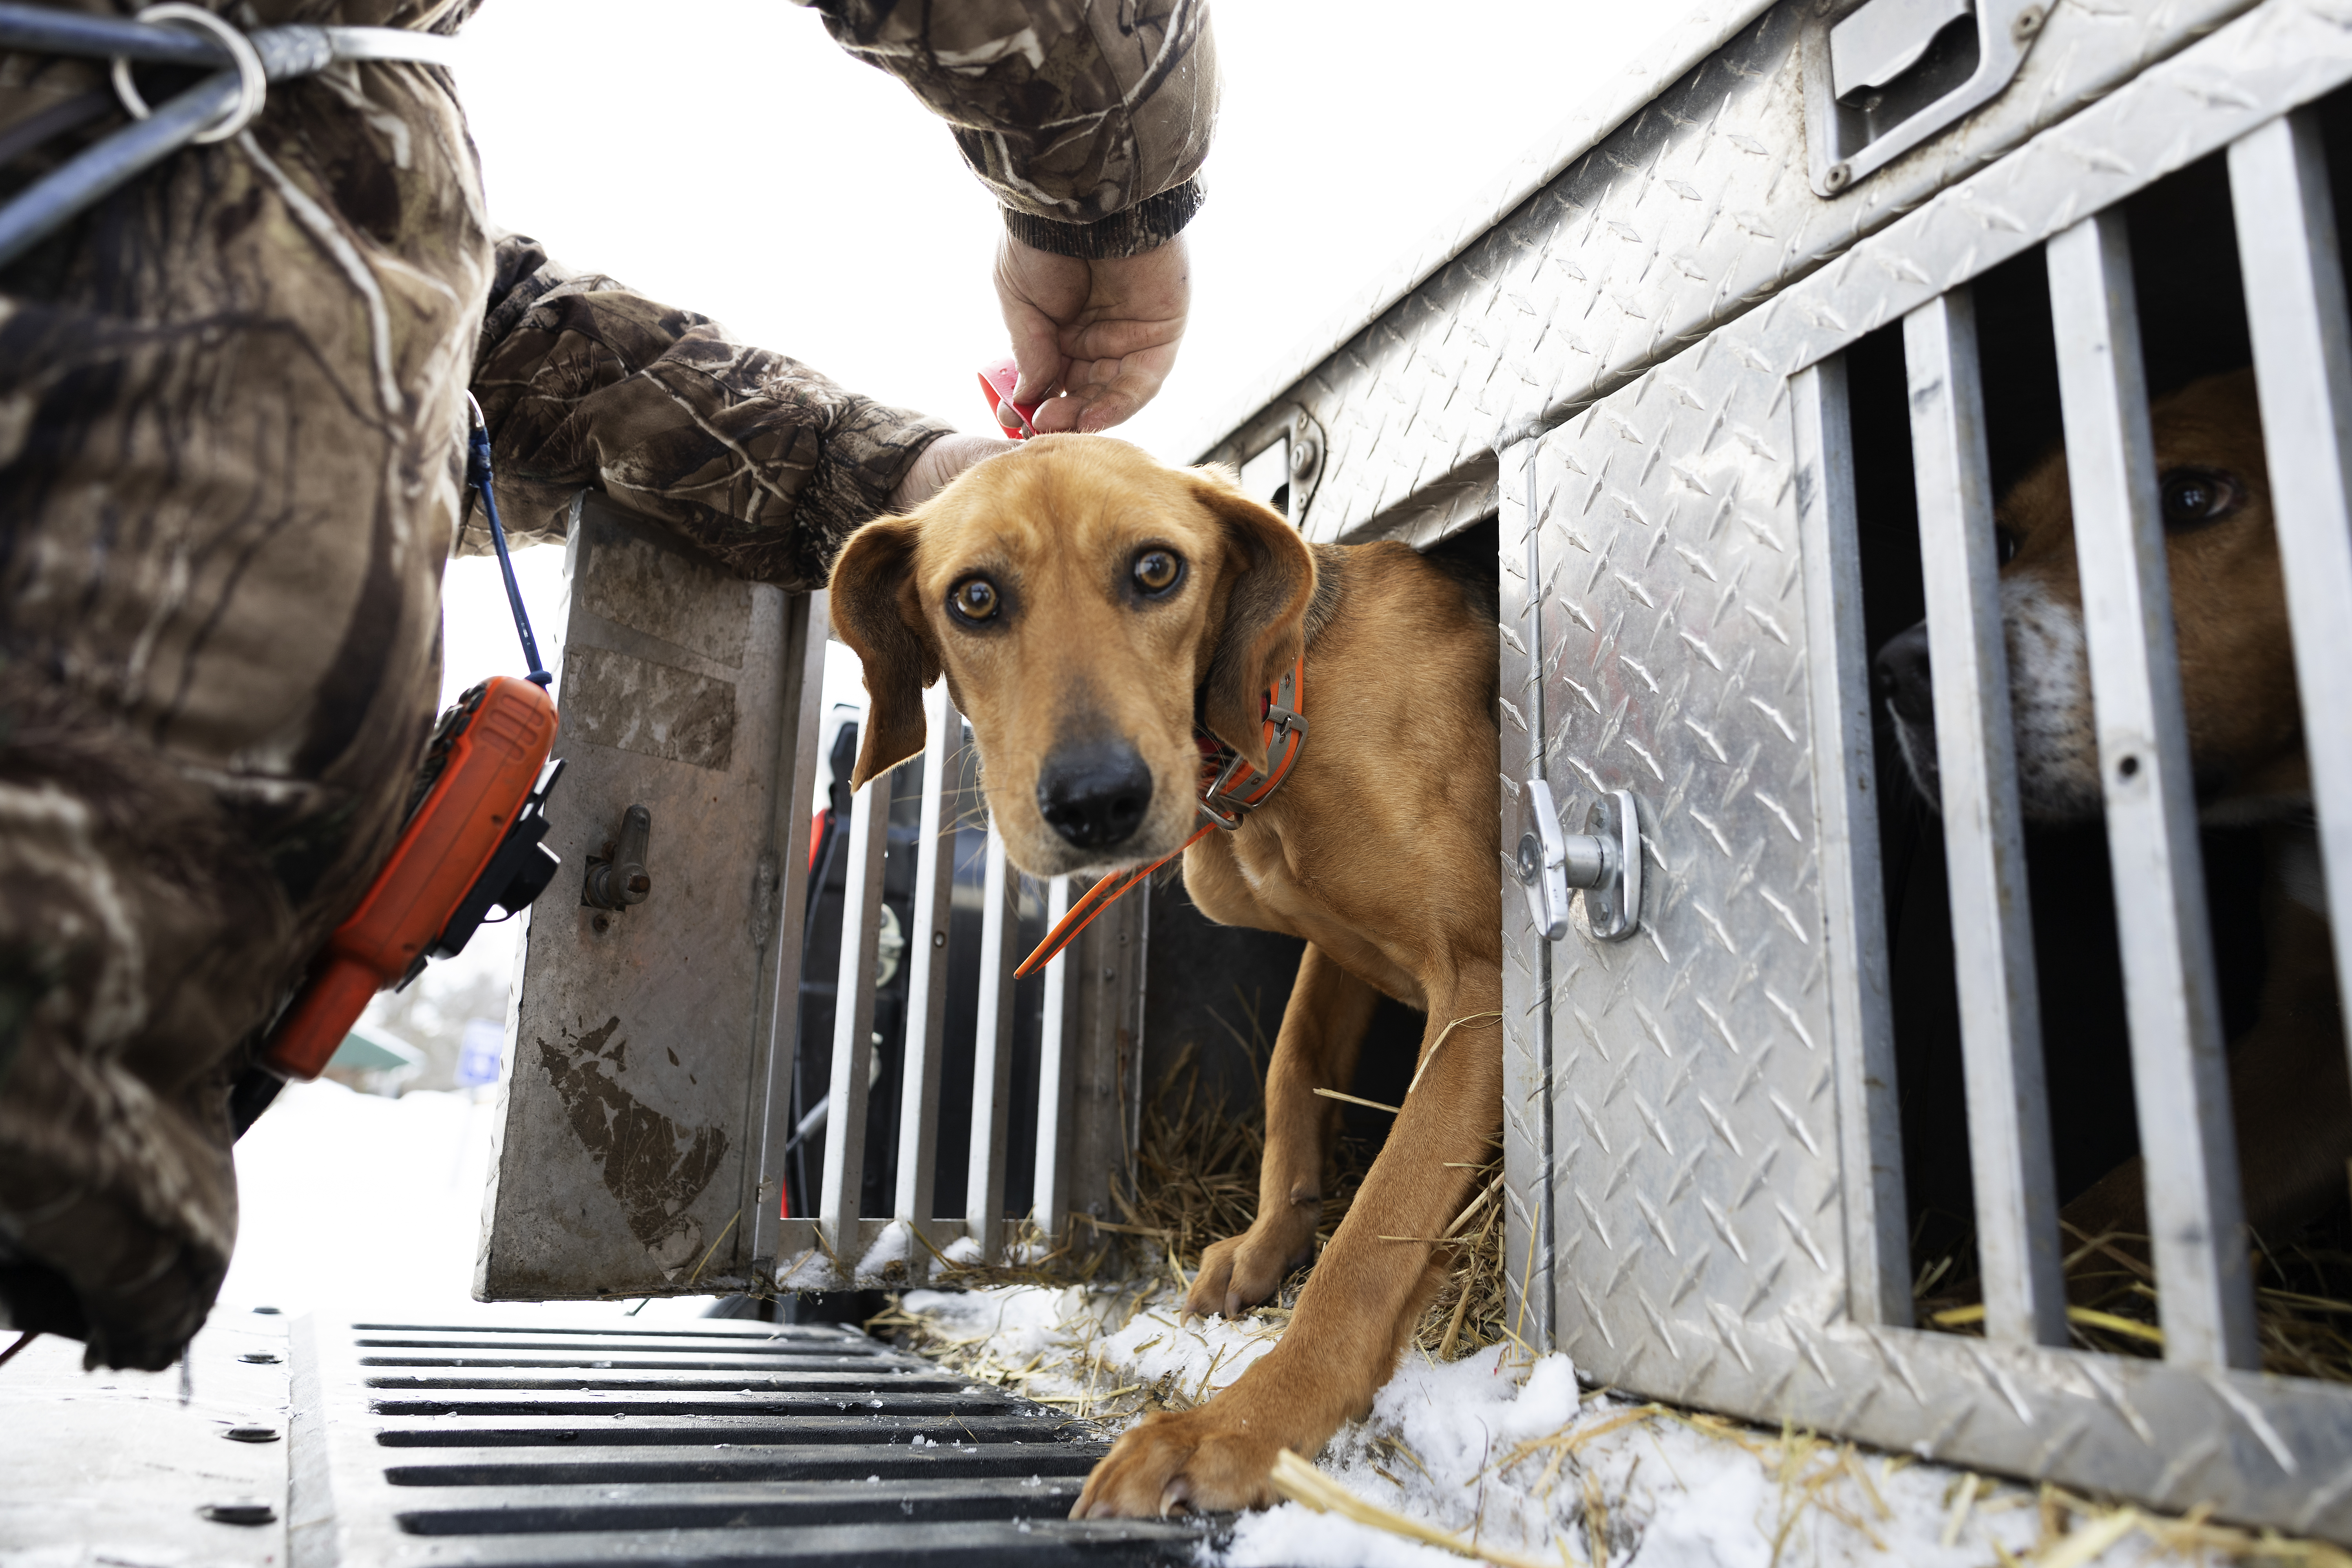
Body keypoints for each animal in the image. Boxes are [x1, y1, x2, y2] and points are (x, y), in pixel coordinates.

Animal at [828, 435, 1505, 1514]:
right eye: (974, 597)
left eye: (1156, 570)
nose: (1095, 801)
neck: (1282, 701)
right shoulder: (1336, 952)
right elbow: (1289, 1071)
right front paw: (1267, 1245)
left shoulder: (1476, 984)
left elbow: (1371, 1238)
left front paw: (1241, 1425)